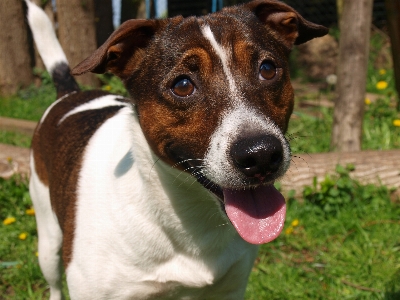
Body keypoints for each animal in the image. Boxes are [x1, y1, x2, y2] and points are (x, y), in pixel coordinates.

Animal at [26, 0, 328, 298]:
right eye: (182, 85)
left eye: (267, 69)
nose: (261, 154)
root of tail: (70, 94)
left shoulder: (230, 288)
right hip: (48, 241)